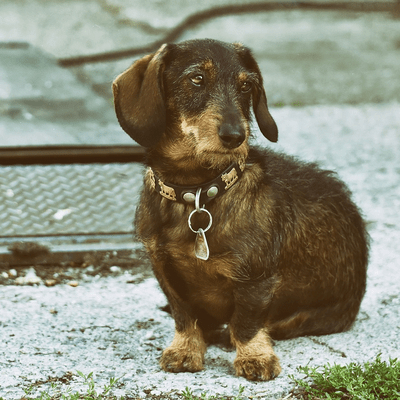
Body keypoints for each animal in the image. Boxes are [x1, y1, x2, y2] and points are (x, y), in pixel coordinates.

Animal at [112, 39, 368, 380]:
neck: (197, 191)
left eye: (246, 86)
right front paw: (185, 350)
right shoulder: (164, 268)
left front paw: (254, 357)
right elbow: (184, 315)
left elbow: (246, 321)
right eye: (196, 79)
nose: (236, 136)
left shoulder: (256, 278)